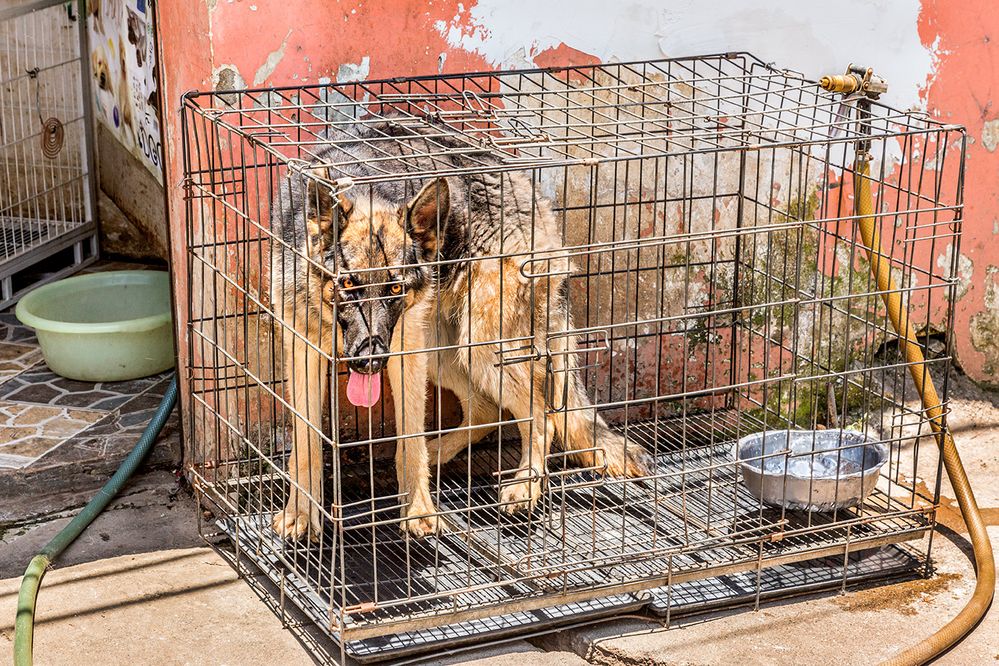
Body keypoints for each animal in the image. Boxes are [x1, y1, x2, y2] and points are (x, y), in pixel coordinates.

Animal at [270, 120, 652, 540]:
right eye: (348, 284)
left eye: (395, 288)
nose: (370, 361)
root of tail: (528, 189)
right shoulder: (303, 352)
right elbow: (306, 444)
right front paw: (301, 513)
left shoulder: (403, 354)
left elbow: (409, 440)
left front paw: (419, 510)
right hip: (442, 352)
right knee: (486, 409)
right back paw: (441, 451)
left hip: (481, 346)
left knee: (541, 413)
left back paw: (524, 485)